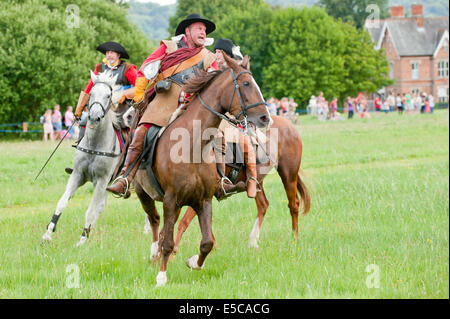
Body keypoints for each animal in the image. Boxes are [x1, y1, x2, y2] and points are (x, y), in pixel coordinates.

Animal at [42, 70, 129, 248]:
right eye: (92, 94)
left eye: (108, 95)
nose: (94, 117)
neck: (95, 145)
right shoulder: (78, 175)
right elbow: (62, 202)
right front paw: (48, 234)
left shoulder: (101, 181)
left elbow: (90, 210)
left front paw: (82, 240)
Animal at [132, 53, 268, 288]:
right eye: (246, 84)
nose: (265, 117)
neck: (192, 145)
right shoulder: (171, 199)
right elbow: (168, 241)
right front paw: (161, 277)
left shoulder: (203, 200)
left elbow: (206, 242)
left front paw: (194, 262)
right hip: (144, 193)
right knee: (155, 220)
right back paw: (154, 253)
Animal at [171, 114, 312, 254]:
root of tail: (289, 125)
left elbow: (184, 221)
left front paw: (173, 252)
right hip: (256, 181)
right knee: (263, 205)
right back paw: (253, 241)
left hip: (288, 174)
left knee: (293, 204)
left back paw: (294, 239)